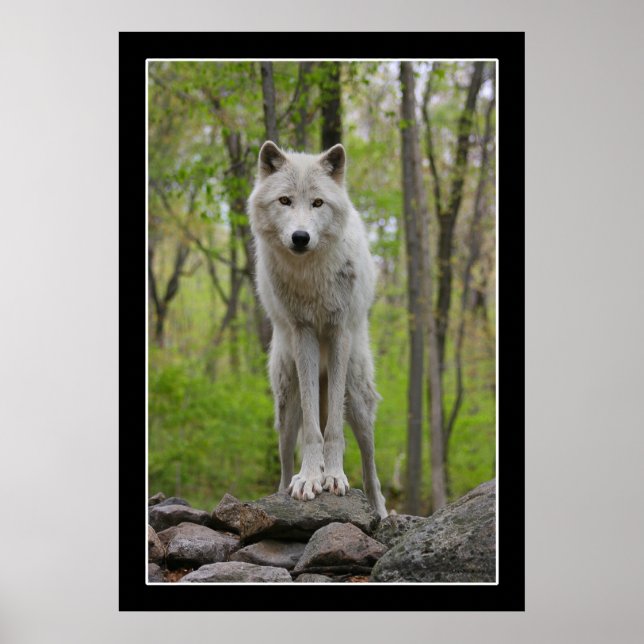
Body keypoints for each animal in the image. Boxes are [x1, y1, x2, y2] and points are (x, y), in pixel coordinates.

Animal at [247, 141, 387, 518]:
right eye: (284, 201)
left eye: (318, 203)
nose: (300, 237)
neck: (310, 274)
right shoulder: (304, 333)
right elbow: (314, 429)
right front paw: (311, 478)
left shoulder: (338, 332)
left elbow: (333, 430)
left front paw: (333, 476)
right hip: (287, 402)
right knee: (284, 462)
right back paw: (283, 490)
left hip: (357, 397)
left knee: (371, 468)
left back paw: (380, 513)